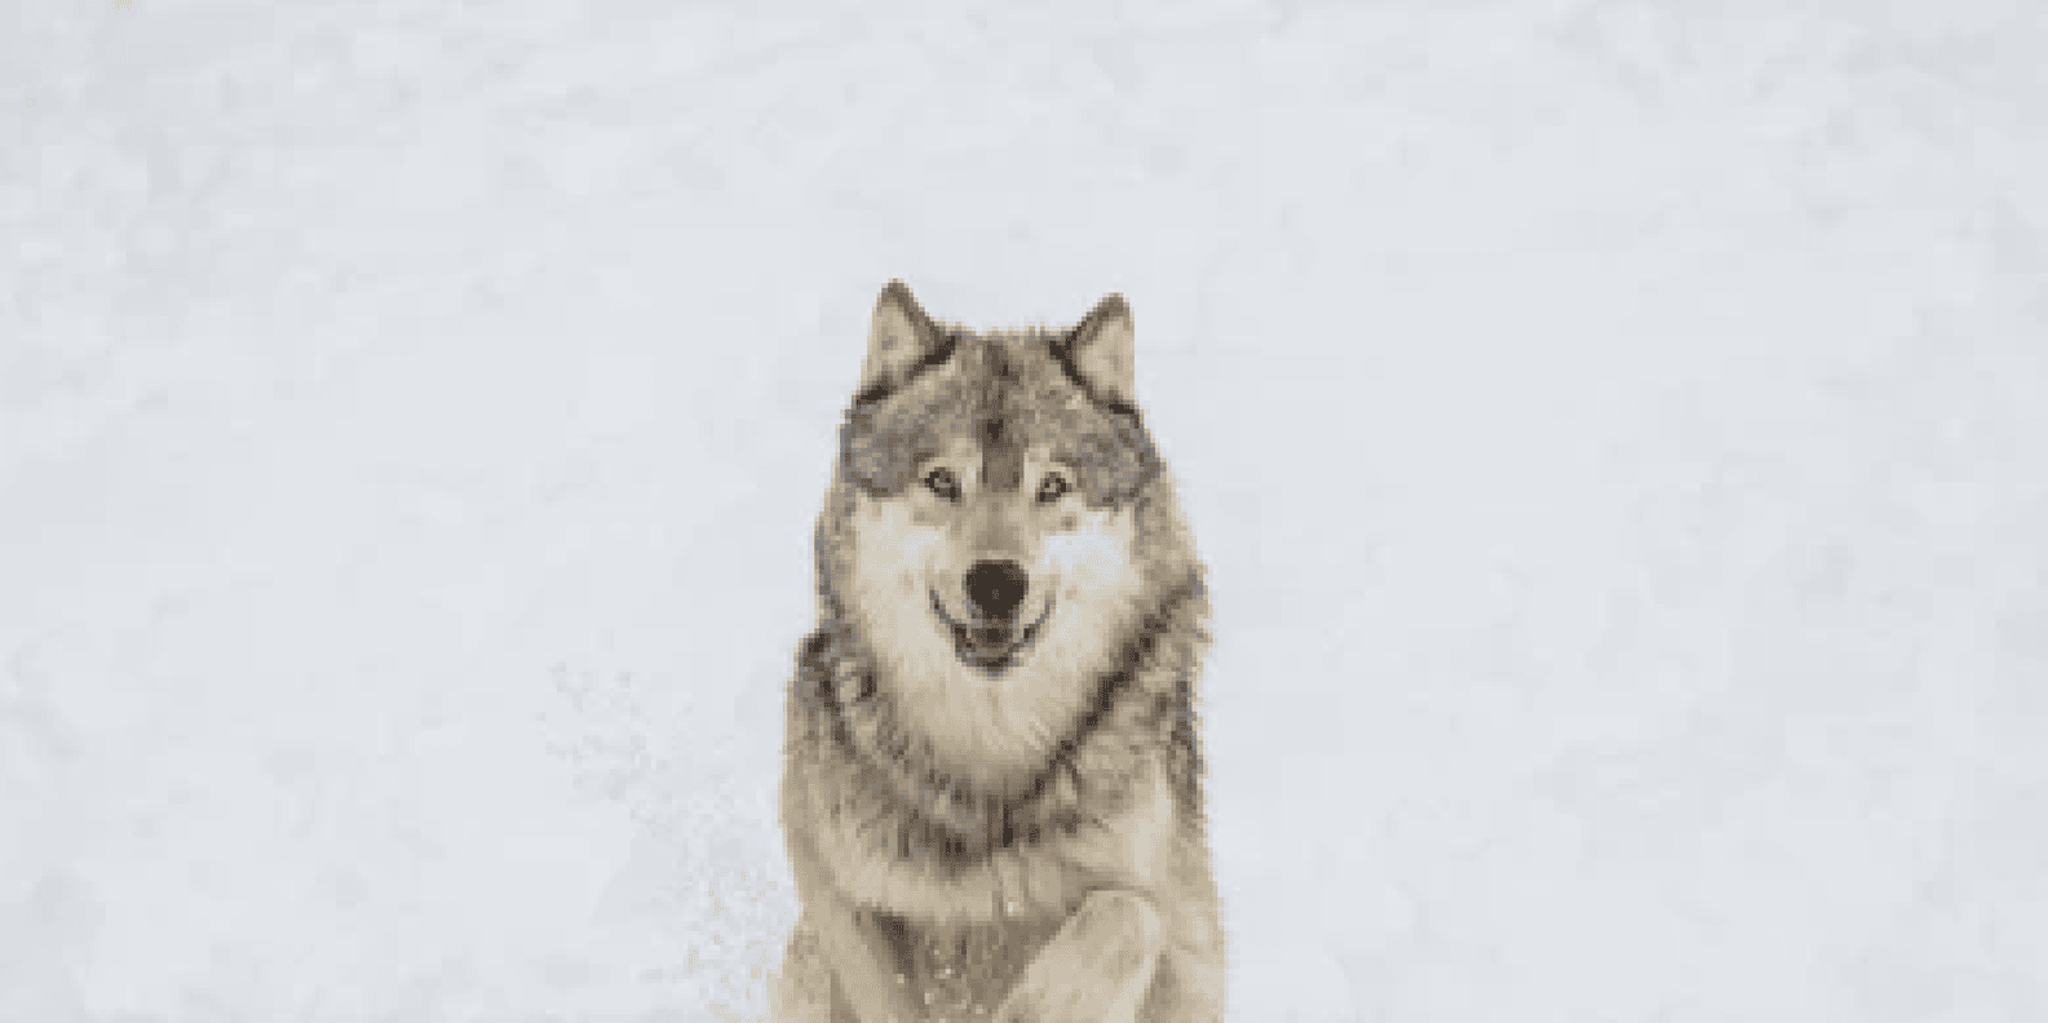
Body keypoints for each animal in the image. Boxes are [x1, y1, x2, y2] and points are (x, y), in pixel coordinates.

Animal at [771, 281, 1225, 1023]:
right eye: (941, 481)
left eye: (1052, 486)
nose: (996, 581)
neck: (990, 745)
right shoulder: (838, 891)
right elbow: (885, 986)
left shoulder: (1187, 935)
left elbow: (1128, 915)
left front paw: (1030, 1004)